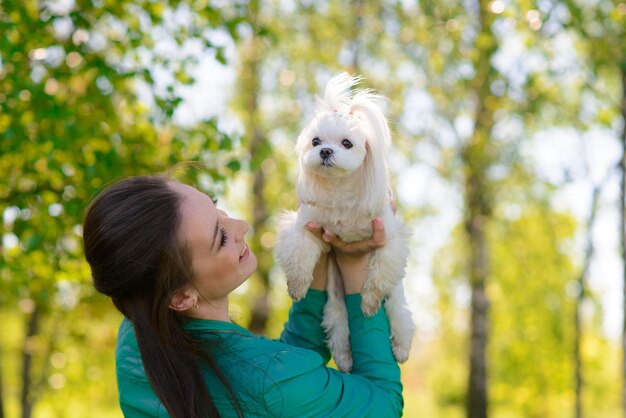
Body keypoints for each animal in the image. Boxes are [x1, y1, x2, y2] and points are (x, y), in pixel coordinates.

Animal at [274, 72, 414, 372]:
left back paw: (400, 345)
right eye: (315, 142)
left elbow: (379, 272)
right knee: (337, 324)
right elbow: (299, 255)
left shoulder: (389, 238)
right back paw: (346, 358)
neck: (339, 190)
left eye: (347, 143)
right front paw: (297, 286)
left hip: (395, 294)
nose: (325, 151)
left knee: (398, 312)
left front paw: (369, 302)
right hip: (335, 295)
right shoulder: (305, 227)